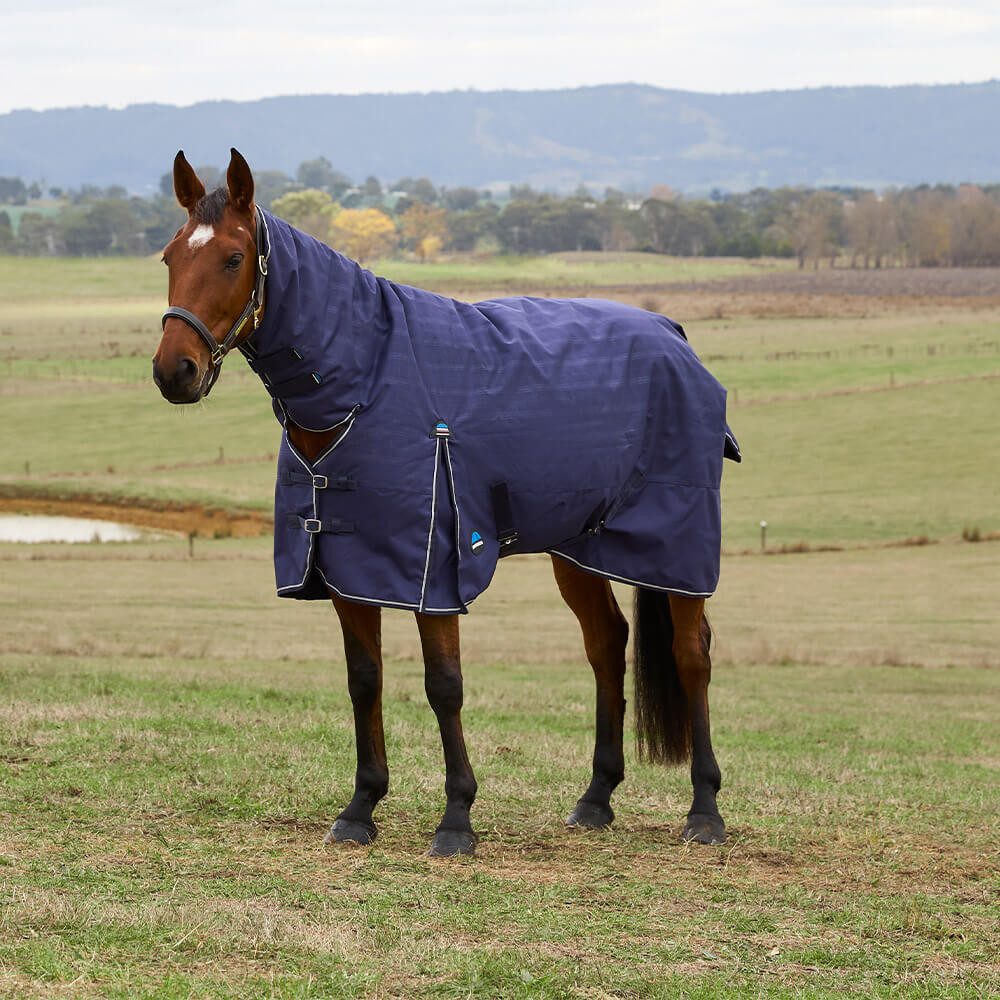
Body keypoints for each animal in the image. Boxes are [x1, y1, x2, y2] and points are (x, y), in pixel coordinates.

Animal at [153, 148, 738, 857]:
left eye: (233, 258)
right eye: (169, 256)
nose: (174, 371)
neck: (367, 378)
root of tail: (674, 336)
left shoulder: (434, 569)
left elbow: (444, 685)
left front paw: (456, 817)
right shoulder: (349, 565)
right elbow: (364, 679)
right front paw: (360, 807)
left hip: (676, 547)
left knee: (691, 654)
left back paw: (704, 810)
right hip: (578, 547)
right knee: (607, 645)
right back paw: (596, 797)